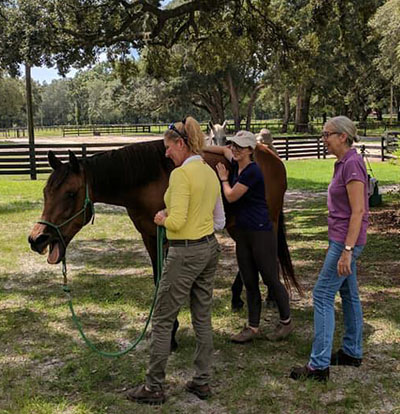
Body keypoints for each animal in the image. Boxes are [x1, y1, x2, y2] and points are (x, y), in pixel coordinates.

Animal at [28, 139, 300, 350]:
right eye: (45, 192)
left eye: (70, 194)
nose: (37, 238)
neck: (147, 182)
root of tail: (272, 156)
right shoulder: (149, 237)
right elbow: (158, 280)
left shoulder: (169, 239)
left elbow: (168, 283)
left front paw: (171, 334)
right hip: (237, 224)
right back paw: (237, 298)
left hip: (269, 220)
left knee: (270, 254)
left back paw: (271, 297)